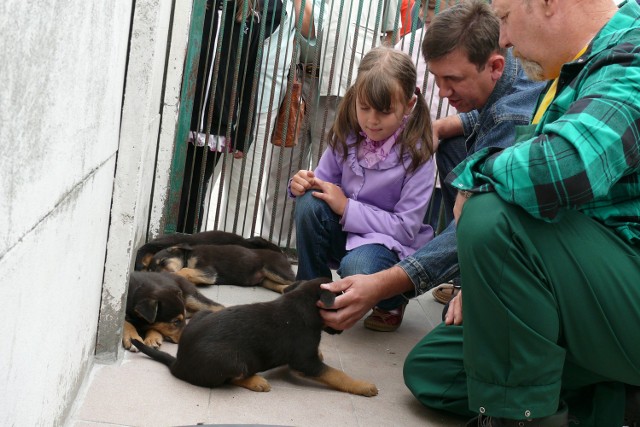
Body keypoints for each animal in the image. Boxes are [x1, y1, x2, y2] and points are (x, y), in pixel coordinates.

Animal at [132, 278, 378, 398]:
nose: (342, 330)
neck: (303, 301)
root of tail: (178, 364)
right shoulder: (304, 362)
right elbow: (336, 374)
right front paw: (362, 386)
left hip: (203, 314)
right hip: (231, 359)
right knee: (229, 379)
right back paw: (257, 381)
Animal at [148, 244, 296, 294]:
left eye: (163, 262)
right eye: (152, 271)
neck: (187, 256)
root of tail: (284, 256)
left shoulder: (209, 271)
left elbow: (184, 270)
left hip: (276, 271)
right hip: (266, 280)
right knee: (282, 286)